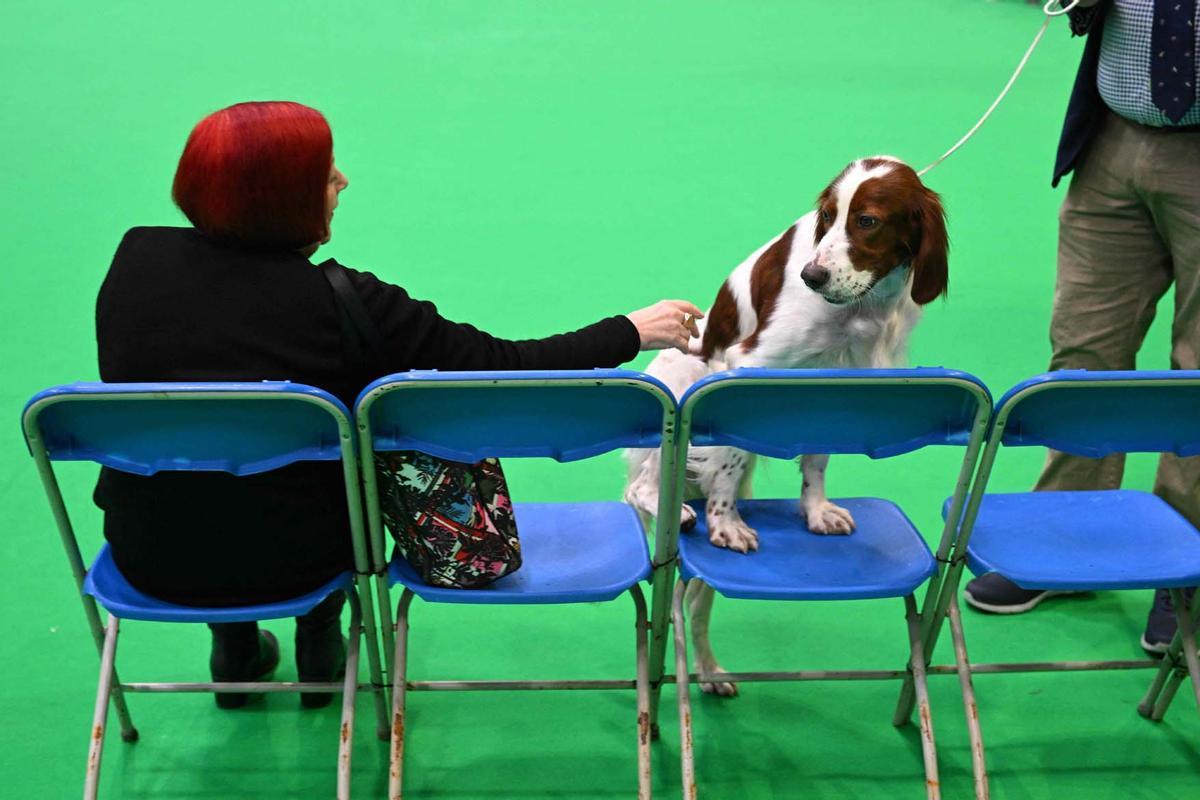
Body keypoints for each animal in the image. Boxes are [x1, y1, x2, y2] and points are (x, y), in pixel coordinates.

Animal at [628, 158, 945, 695]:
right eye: (828, 216)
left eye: (868, 221)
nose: (812, 276)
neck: (859, 306)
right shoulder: (747, 366)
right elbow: (728, 466)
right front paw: (726, 524)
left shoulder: (835, 380)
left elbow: (816, 460)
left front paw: (816, 512)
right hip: (675, 404)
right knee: (642, 489)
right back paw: (683, 511)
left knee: (696, 609)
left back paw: (710, 672)